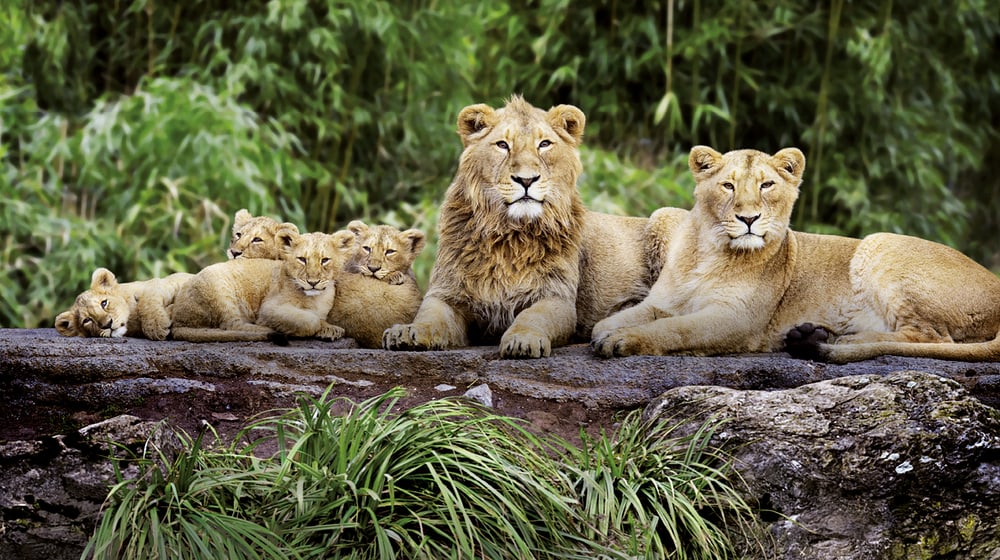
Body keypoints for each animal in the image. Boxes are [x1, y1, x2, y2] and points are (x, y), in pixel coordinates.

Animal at [55, 268, 194, 339]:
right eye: (87, 320)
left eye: (104, 303)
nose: (107, 324)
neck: (131, 320)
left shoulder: (168, 281)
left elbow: (147, 298)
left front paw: (156, 326)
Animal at [171, 229, 356, 342]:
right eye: (302, 259)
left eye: (325, 260)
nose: (313, 282)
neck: (317, 298)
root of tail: (178, 319)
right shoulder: (269, 309)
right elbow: (309, 320)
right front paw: (328, 328)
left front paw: (330, 330)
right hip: (220, 289)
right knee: (231, 325)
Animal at [383, 95, 670, 358]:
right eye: (502, 145)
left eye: (544, 144)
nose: (526, 180)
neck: (509, 235)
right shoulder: (447, 293)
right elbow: (430, 316)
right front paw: (408, 332)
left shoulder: (556, 297)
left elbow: (532, 317)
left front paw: (522, 341)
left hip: (662, 219)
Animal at [591, 145, 1000, 364]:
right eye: (728, 186)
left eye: (767, 185)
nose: (749, 218)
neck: (710, 251)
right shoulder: (663, 300)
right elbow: (621, 318)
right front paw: (608, 331)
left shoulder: (738, 319)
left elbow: (675, 329)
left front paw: (625, 340)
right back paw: (816, 334)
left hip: (879, 244)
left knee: (934, 338)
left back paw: (841, 341)